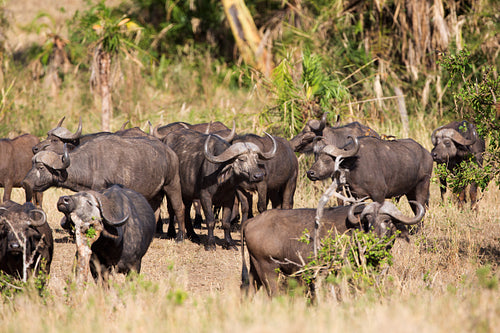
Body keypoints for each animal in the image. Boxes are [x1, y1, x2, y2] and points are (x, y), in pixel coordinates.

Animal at [22, 134, 186, 240]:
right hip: (155, 194)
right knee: (155, 211)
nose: (25, 183)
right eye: (32, 165)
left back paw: (180, 236)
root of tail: (171, 153)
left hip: (172, 184)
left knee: (179, 207)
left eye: (41, 167)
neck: (92, 164)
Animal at [240, 200, 424, 296]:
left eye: (387, 220)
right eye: (368, 221)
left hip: (254, 267)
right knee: (273, 293)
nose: (374, 238)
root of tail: (251, 221)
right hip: (268, 269)